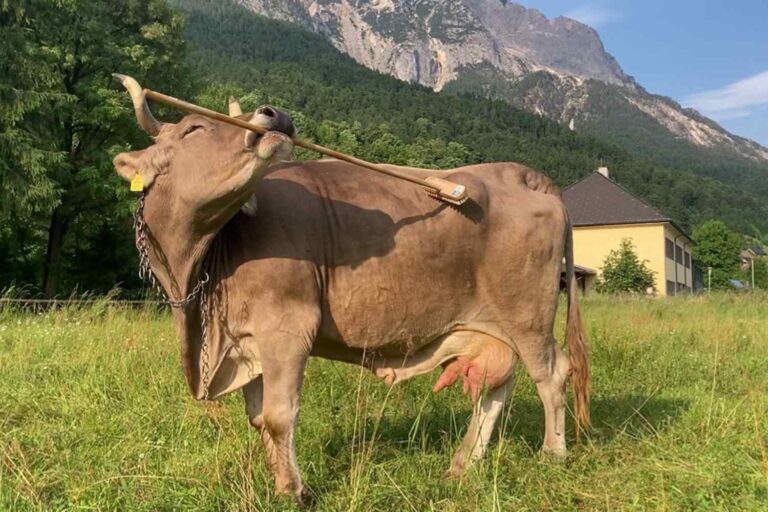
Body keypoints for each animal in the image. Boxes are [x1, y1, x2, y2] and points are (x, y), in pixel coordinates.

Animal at [113, 75, 590, 504]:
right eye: (194, 128)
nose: (274, 114)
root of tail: (520, 173)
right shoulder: (246, 341)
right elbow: (258, 417)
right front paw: (280, 480)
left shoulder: (287, 328)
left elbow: (279, 415)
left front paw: (293, 491)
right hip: (493, 326)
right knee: (498, 385)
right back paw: (463, 464)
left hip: (528, 315)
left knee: (551, 374)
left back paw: (552, 453)